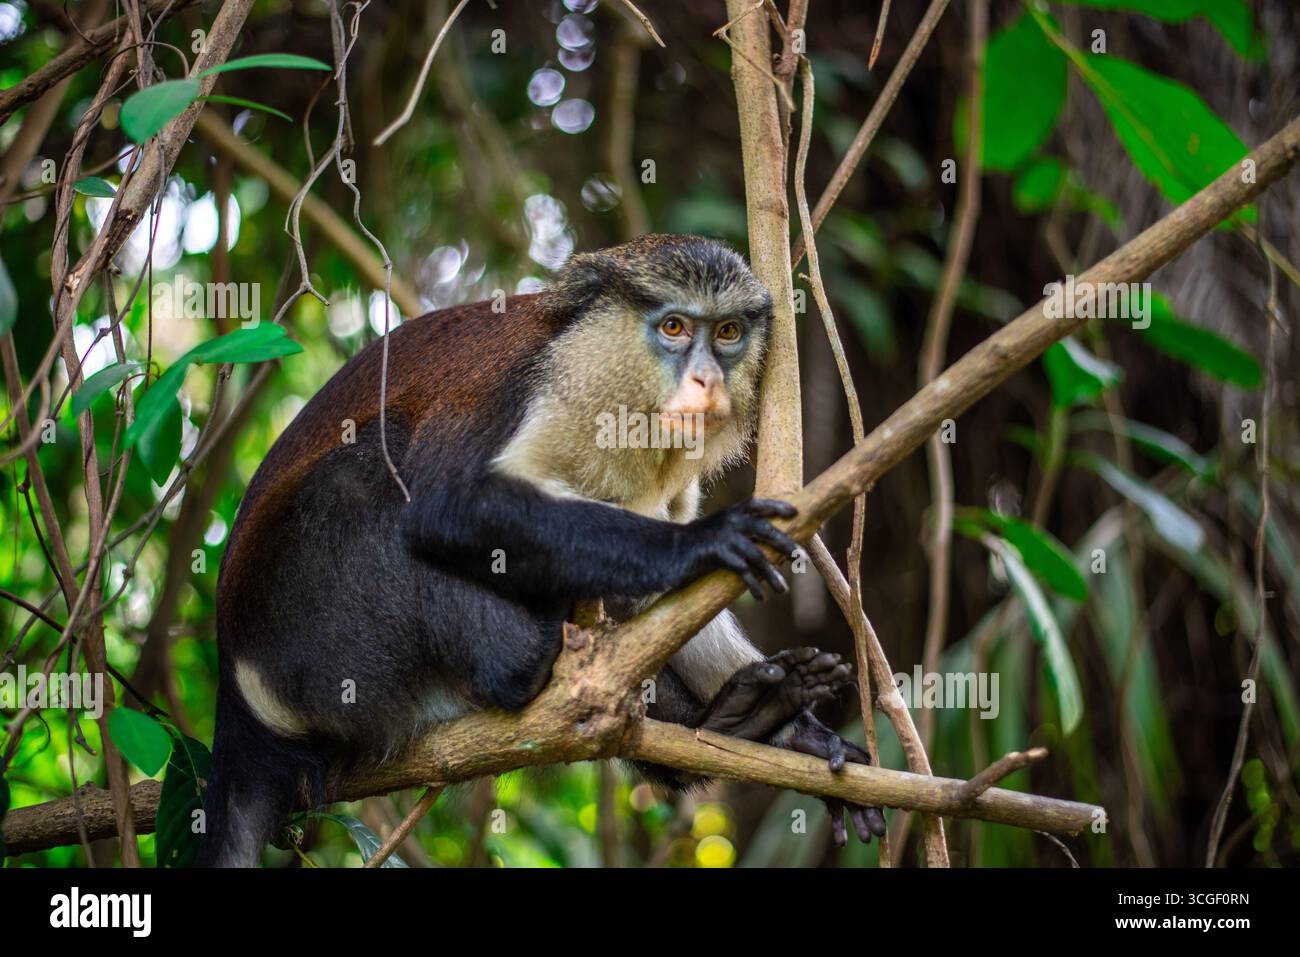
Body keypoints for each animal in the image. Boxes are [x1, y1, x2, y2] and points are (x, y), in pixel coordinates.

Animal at [197, 234, 886, 867]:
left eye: (727, 332)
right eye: (672, 327)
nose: (707, 380)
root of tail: (240, 713)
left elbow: (664, 599)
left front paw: (796, 734)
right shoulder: (514, 394)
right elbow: (446, 507)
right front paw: (707, 541)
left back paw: (740, 718)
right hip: (318, 652)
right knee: (363, 473)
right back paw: (522, 665)